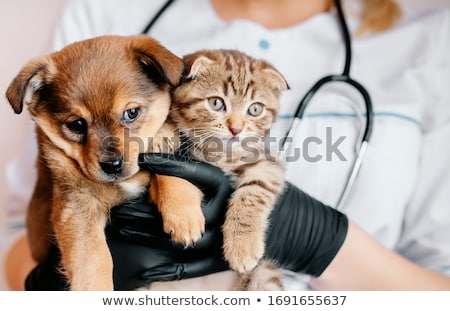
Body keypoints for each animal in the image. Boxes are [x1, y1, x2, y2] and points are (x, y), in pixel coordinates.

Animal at [5, 35, 204, 292]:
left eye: (132, 113)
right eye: (77, 124)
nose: (112, 165)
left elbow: (171, 168)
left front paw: (183, 215)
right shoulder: (77, 206)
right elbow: (93, 260)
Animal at [169, 50, 288, 292]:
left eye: (255, 109)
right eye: (216, 103)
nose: (236, 129)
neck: (221, 154)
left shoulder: (268, 164)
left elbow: (255, 191)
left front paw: (242, 246)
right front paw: (182, 216)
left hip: (265, 274)